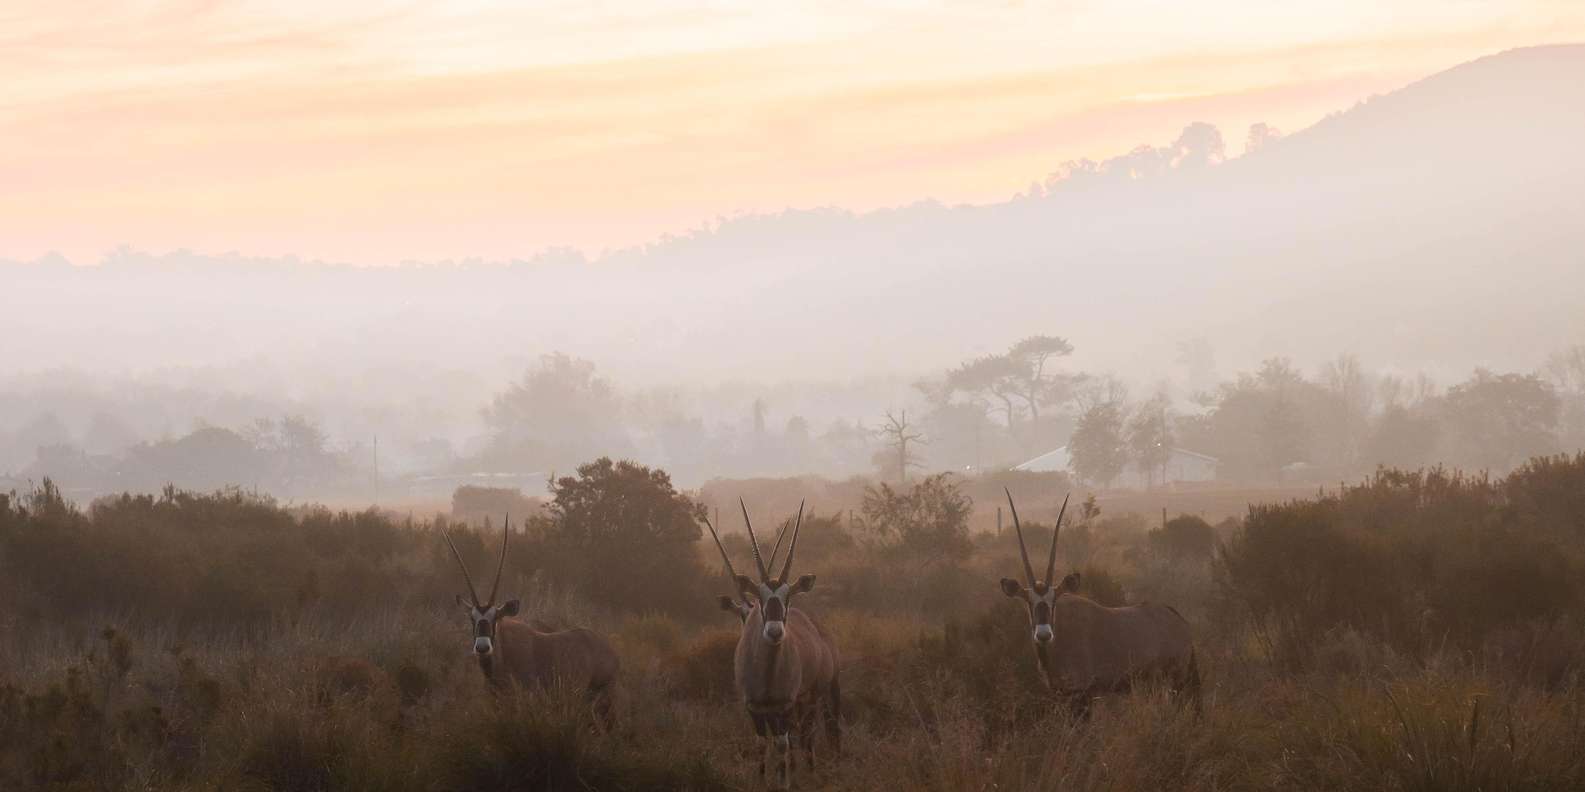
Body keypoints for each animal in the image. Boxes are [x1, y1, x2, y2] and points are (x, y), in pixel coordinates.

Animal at [446, 516, 624, 722]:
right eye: (471, 618)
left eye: (496, 617)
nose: (482, 647)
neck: (504, 653)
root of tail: (611, 650)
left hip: (604, 701)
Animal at [706, 503, 843, 788]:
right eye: (760, 597)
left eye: (787, 597)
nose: (775, 631)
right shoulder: (755, 708)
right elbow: (761, 744)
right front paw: (761, 779)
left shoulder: (784, 707)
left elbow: (782, 744)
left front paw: (785, 780)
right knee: (805, 735)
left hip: (822, 692)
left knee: (818, 731)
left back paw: (815, 770)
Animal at [995, 491, 1191, 715]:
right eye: (1029, 602)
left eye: (1054, 601)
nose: (1044, 634)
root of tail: (1177, 618)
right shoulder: (1061, 695)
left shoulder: (1082, 694)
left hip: (1177, 680)